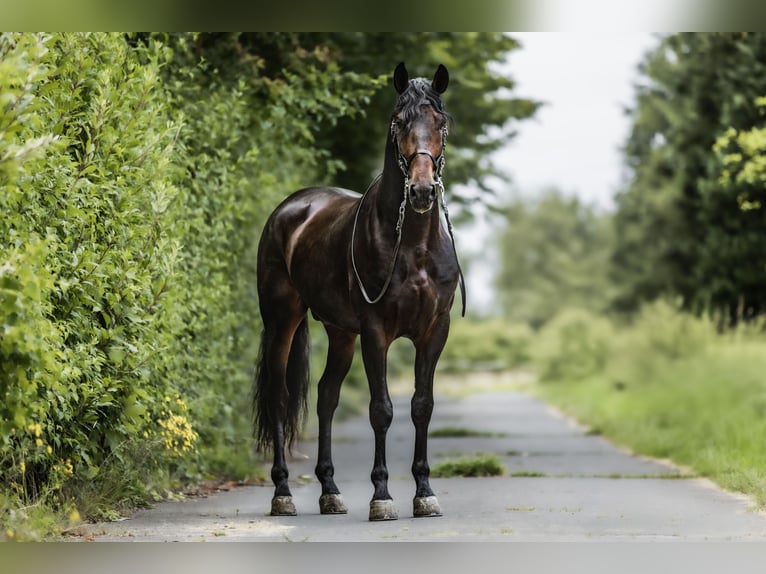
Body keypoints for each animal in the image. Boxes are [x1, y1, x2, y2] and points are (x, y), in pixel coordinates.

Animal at [255, 62, 464, 520]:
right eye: (399, 121)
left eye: (441, 123)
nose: (421, 191)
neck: (413, 244)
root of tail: (290, 208)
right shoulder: (375, 332)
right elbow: (381, 410)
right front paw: (382, 496)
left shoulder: (434, 331)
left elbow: (422, 405)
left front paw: (424, 493)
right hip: (283, 321)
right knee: (279, 397)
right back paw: (283, 493)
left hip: (339, 333)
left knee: (326, 397)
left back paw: (330, 491)